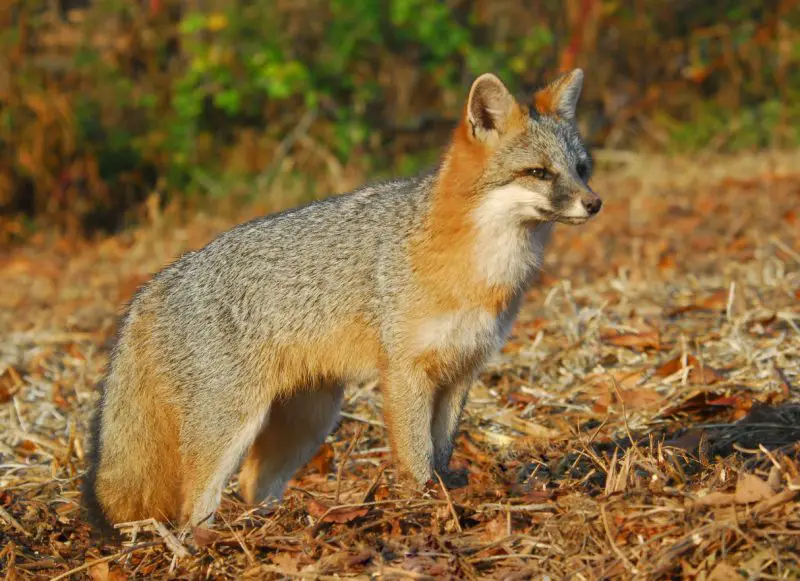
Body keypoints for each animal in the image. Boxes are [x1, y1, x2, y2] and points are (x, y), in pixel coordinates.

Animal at [83, 69, 602, 533]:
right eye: (538, 173)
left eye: (581, 169)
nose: (594, 203)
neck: (479, 266)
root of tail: (159, 279)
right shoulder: (406, 372)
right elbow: (416, 457)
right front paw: (423, 508)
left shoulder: (460, 371)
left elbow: (442, 450)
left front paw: (446, 496)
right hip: (231, 429)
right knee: (193, 508)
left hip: (310, 421)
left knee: (253, 487)